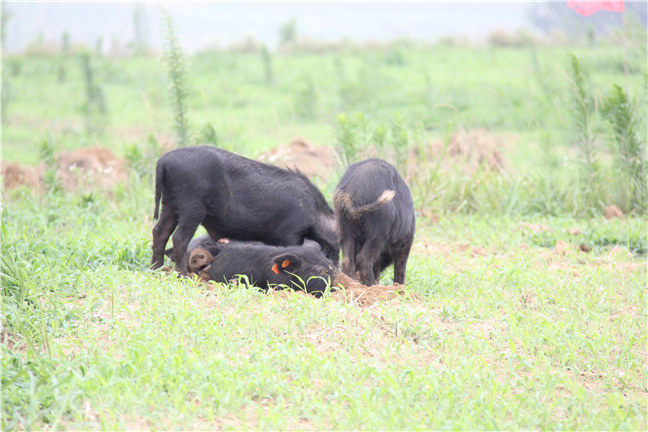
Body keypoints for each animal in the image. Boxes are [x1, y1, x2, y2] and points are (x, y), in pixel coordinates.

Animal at [151, 145, 340, 274]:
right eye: (336, 243)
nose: (336, 267)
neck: (315, 213)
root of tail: (163, 162)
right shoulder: (290, 234)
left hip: (169, 204)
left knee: (159, 232)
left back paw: (155, 270)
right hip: (191, 206)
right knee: (179, 238)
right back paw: (182, 274)